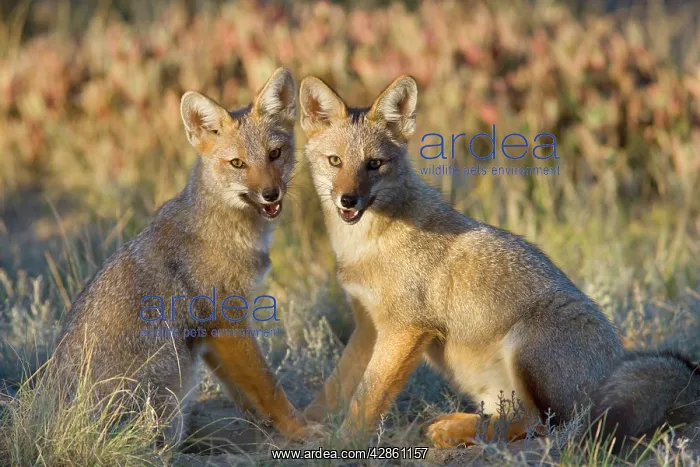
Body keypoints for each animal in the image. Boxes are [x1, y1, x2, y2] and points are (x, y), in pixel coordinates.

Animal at [51, 67, 316, 446]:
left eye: (275, 154)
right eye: (238, 163)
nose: (271, 194)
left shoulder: (213, 338)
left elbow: (245, 394)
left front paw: (267, 429)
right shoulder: (227, 321)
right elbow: (269, 387)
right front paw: (301, 430)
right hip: (173, 386)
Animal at [298, 74, 700, 450]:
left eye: (374, 164)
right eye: (335, 162)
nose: (348, 200)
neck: (364, 246)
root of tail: (614, 363)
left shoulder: (404, 328)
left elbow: (366, 399)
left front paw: (343, 442)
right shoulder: (367, 326)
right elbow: (335, 388)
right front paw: (303, 429)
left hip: (527, 350)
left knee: (546, 426)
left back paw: (455, 430)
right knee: (517, 417)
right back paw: (452, 427)